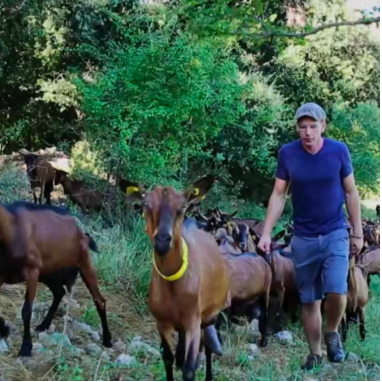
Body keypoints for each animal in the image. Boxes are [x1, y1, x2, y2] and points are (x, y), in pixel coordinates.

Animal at [0, 201, 112, 356]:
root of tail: (82, 233)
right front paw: (4, 329)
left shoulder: (32, 270)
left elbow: (26, 311)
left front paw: (26, 348)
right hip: (48, 273)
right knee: (59, 292)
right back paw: (43, 325)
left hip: (84, 264)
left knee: (99, 300)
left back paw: (107, 340)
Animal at [122, 175, 230, 380]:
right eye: (146, 204)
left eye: (182, 207)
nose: (162, 240)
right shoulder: (162, 323)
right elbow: (167, 357)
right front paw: (175, 359)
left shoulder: (194, 321)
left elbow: (189, 369)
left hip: (209, 314)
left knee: (208, 347)